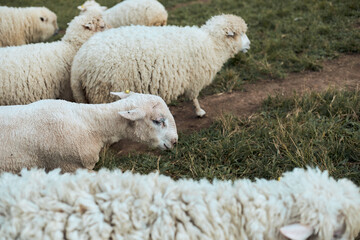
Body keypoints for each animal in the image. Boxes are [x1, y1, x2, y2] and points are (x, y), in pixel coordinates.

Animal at [70, 14, 250, 117]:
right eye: (240, 34)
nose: (249, 44)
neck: (212, 44)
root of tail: (78, 63)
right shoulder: (194, 80)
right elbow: (194, 98)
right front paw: (199, 112)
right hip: (103, 91)